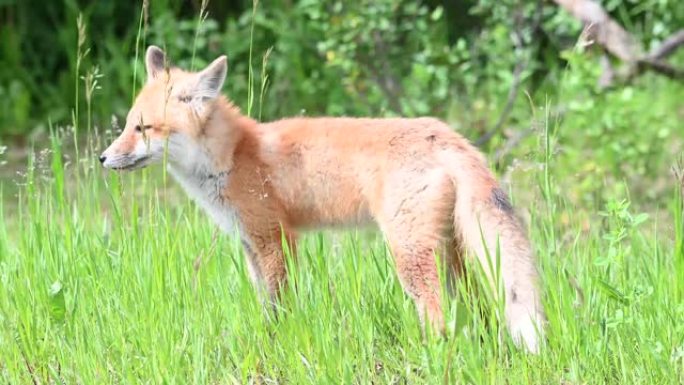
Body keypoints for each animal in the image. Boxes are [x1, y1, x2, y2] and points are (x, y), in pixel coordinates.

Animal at [99, 45, 544, 352]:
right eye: (128, 124)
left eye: (144, 128)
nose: (103, 158)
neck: (233, 156)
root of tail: (448, 135)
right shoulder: (250, 244)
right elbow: (265, 303)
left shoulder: (275, 239)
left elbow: (279, 307)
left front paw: (274, 344)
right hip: (453, 252)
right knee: (475, 310)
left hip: (411, 254)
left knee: (437, 316)